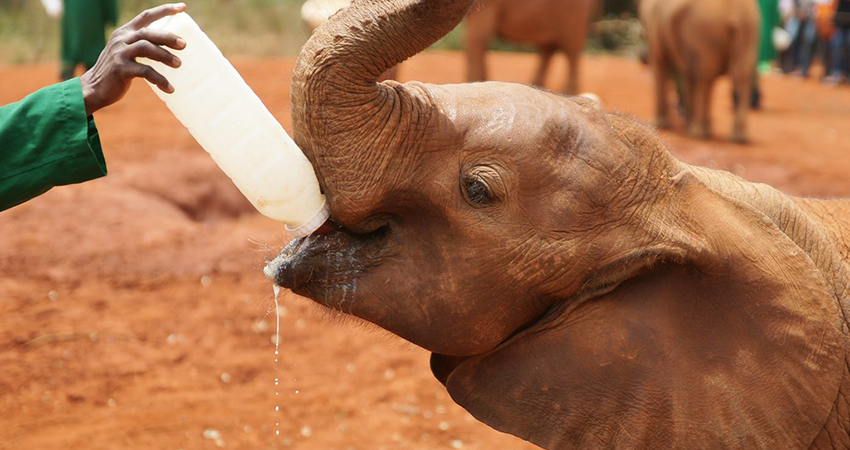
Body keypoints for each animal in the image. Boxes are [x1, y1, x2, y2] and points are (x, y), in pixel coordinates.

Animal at [639, 0, 760, 143]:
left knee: (704, 77)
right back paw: (739, 137)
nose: (642, 57)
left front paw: (660, 124)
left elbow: (661, 61)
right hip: (750, 31)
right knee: (742, 75)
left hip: (705, 31)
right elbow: (687, 72)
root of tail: (735, 13)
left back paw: (698, 132)